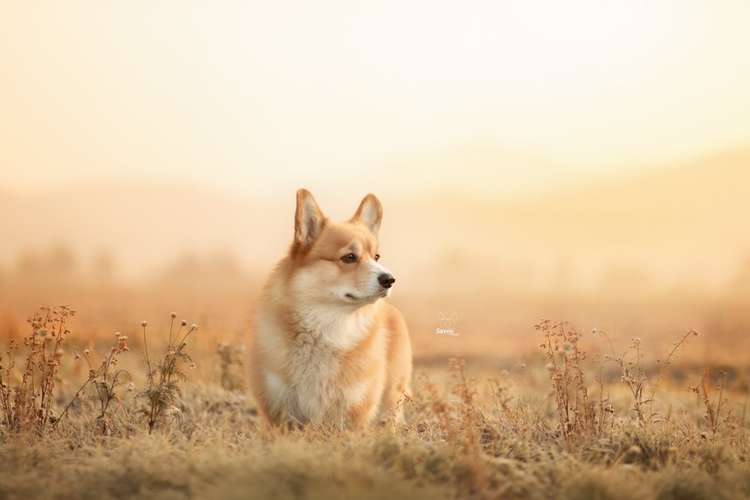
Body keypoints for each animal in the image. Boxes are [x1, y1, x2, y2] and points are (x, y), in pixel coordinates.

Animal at [253, 189, 418, 428]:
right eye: (349, 257)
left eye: (376, 257)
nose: (390, 279)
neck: (328, 327)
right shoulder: (280, 412)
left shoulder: (353, 415)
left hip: (391, 400)